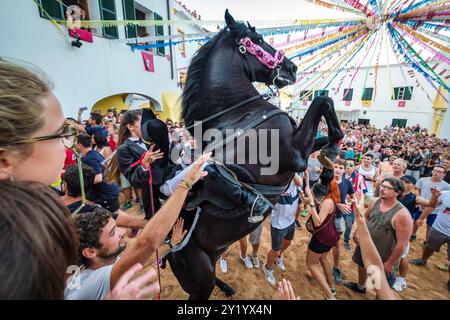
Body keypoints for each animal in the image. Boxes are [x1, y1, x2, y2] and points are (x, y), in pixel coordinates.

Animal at [167, 10, 342, 300]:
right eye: (258, 40)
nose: (292, 69)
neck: (239, 113)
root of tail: (170, 248)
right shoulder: (295, 153)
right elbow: (323, 101)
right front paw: (332, 155)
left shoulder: (300, 147)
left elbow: (325, 132)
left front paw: (326, 172)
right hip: (200, 279)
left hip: (214, 256)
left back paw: (226, 287)